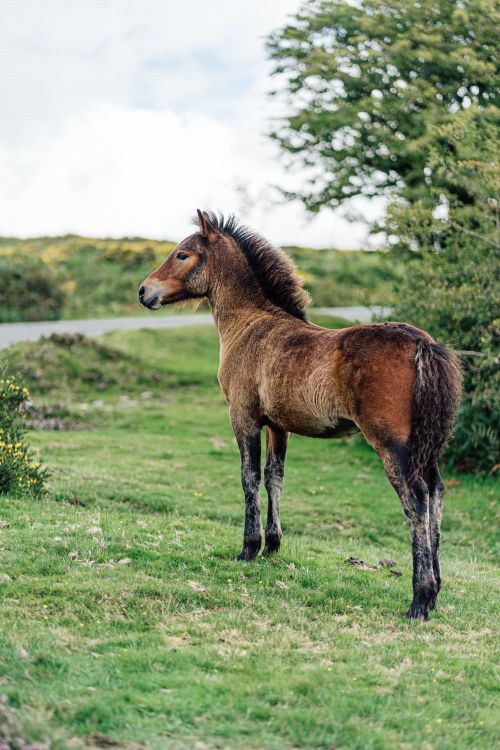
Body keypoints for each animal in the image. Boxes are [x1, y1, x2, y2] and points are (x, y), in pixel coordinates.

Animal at [139, 210, 461, 620]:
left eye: (182, 254)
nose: (144, 291)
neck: (251, 324)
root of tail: (423, 343)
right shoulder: (278, 426)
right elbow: (274, 477)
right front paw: (272, 545)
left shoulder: (243, 417)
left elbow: (249, 477)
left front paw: (248, 548)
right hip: (428, 447)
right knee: (436, 494)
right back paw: (435, 594)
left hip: (393, 444)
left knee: (416, 500)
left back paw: (419, 600)